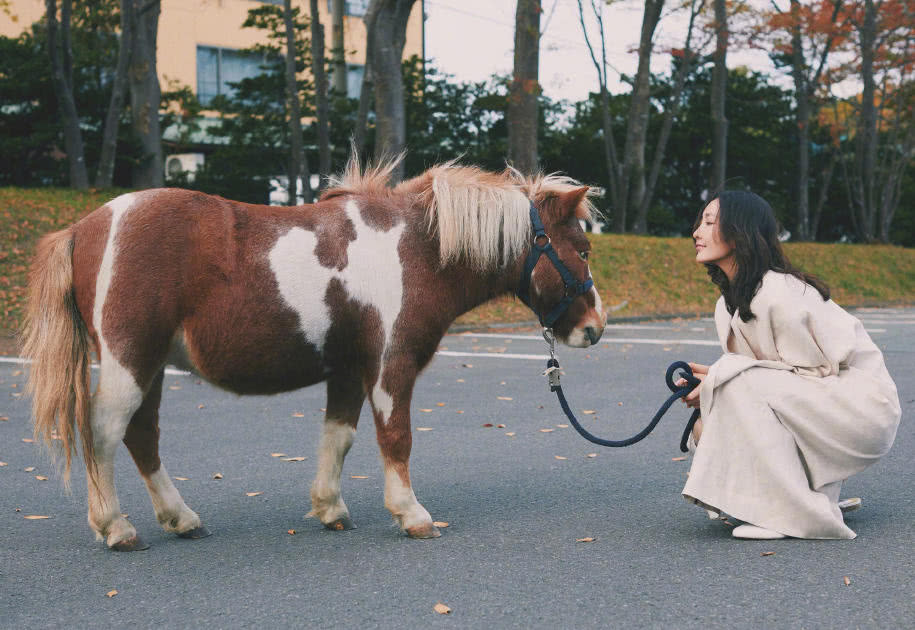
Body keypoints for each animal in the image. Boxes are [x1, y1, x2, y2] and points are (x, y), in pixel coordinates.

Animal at [21, 156, 604, 552]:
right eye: (583, 247)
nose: (595, 329)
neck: (415, 248)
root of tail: (85, 227)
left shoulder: (346, 369)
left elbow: (338, 437)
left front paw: (330, 508)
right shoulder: (390, 365)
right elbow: (396, 437)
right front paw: (411, 514)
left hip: (150, 366)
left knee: (141, 435)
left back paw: (181, 519)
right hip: (130, 361)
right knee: (104, 432)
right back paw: (116, 528)